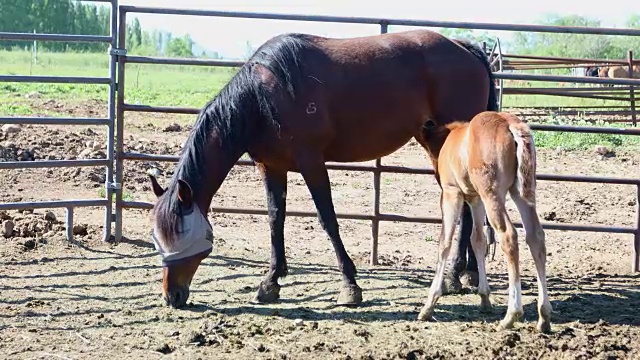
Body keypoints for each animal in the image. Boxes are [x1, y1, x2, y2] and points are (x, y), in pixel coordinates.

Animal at [148, 28, 498, 310]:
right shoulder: (270, 167)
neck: (263, 99)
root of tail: (465, 47)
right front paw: (271, 282)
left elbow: (327, 219)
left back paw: (455, 275)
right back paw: (465, 273)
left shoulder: (311, 163)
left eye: (184, 236)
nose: (171, 296)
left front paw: (350, 286)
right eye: (157, 238)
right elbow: (275, 218)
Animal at [420, 111, 552, 334]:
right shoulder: (475, 198)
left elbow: (444, 241)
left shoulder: (452, 193)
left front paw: (429, 305)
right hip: (521, 192)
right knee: (535, 237)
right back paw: (544, 317)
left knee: (509, 236)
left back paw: (511, 315)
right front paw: (484, 298)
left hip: (493, 194)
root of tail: (510, 125)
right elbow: (478, 240)